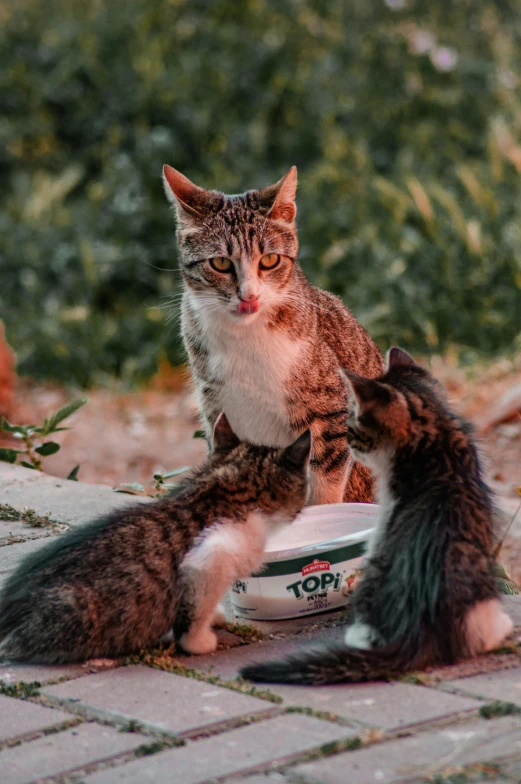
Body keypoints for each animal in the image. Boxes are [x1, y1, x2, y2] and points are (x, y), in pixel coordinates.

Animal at [160, 167, 380, 508]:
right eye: (220, 263)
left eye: (269, 260)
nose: (248, 296)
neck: (244, 338)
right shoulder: (216, 405)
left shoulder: (332, 407)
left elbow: (326, 478)